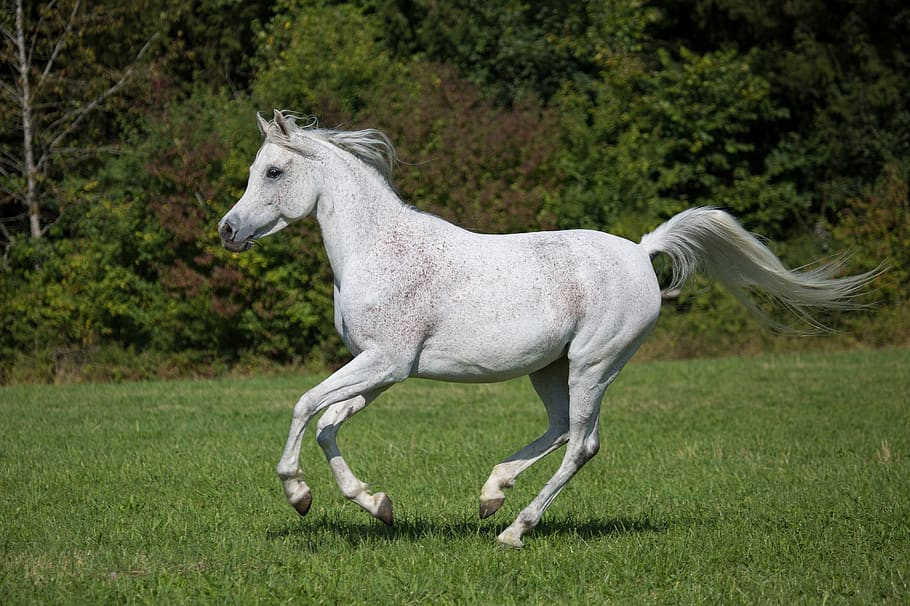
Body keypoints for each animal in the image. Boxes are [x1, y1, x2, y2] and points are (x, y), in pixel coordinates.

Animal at [218, 110, 878, 548]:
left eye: (272, 171)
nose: (227, 230)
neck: (377, 249)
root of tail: (642, 252)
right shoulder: (381, 370)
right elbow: (328, 423)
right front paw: (377, 505)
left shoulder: (386, 362)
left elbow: (304, 406)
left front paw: (297, 494)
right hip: (550, 369)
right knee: (562, 430)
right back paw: (492, 494)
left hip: (593, 365)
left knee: (582, 444)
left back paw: (514, 529)